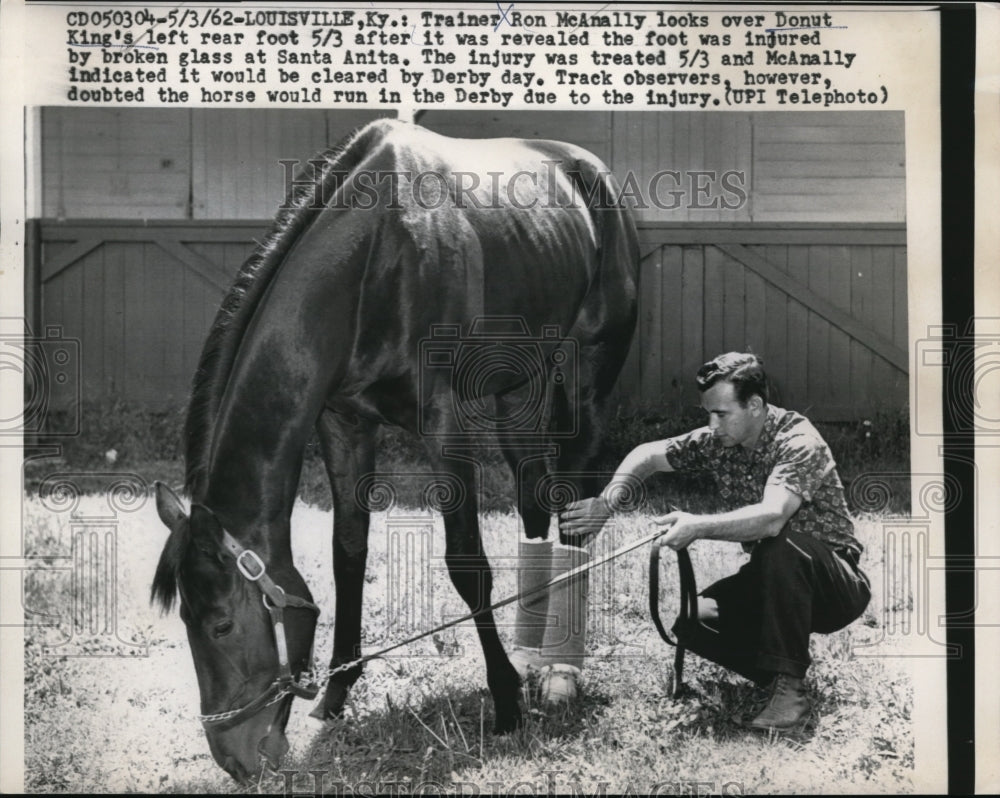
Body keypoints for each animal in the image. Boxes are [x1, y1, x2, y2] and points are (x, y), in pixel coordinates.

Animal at [152, 119, 636, 780]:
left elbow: (467, 564)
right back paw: (532, 652)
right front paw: (336, 690)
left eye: (222, 624)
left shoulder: (446, 424)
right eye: (186, 621)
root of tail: (591, 171)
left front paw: (506, 699)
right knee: (537, 507)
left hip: (589, 382)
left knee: (576, 516)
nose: (235, 757)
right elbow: (348, 550)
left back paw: (559, 671)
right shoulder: (344, 422)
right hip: (519, 392)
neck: (376, 261)